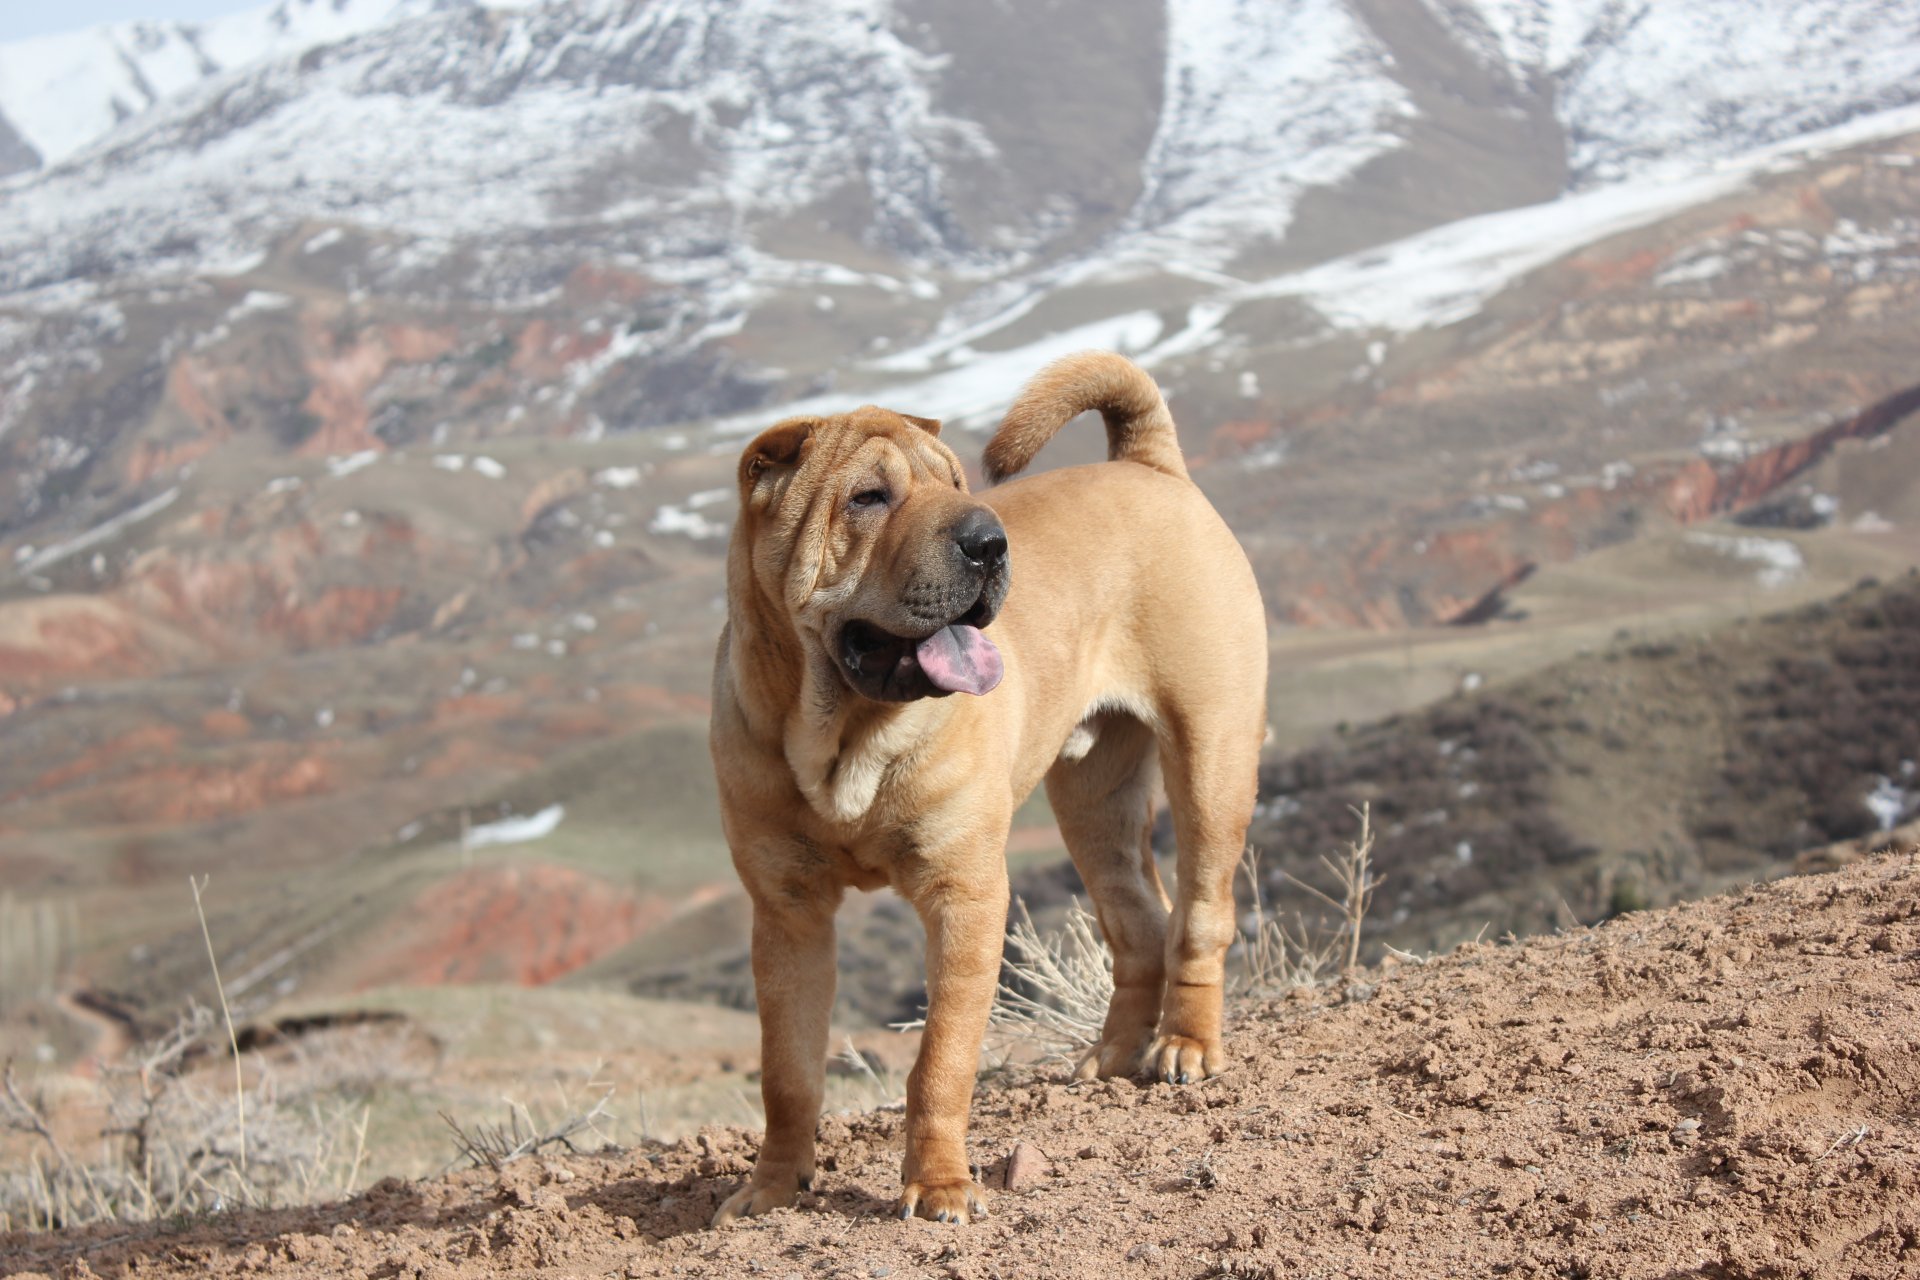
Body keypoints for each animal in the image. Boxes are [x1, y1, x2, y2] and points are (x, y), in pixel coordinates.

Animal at [714, 347, 1267, 1220]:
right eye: (868, 497)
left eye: (955, 484)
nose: (988, 541)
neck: (843, 736)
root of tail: (1150, 467)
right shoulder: (788, 913)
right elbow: (787, 1072)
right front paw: (769, 1188)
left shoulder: (964, 896)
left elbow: (940, 1060)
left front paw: (939, 1187)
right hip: (1093, 802)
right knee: (1139, 922)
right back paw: (1111, 1058)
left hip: (1212, 760)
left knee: (1203, 913)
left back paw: (1185, 1045)